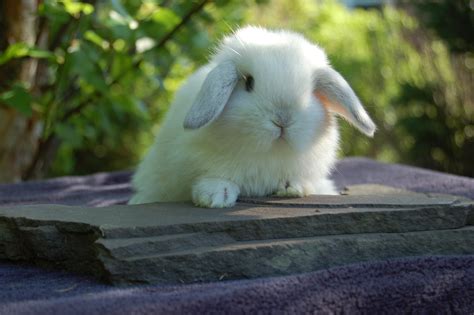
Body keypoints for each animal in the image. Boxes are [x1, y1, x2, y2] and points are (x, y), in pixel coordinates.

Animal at [129, 25, 374, 209]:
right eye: (249, 83)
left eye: (310, 91)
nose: (282, 120)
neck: (268, 153)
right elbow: (211, 177)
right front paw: (216, 196)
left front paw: (293, 187)